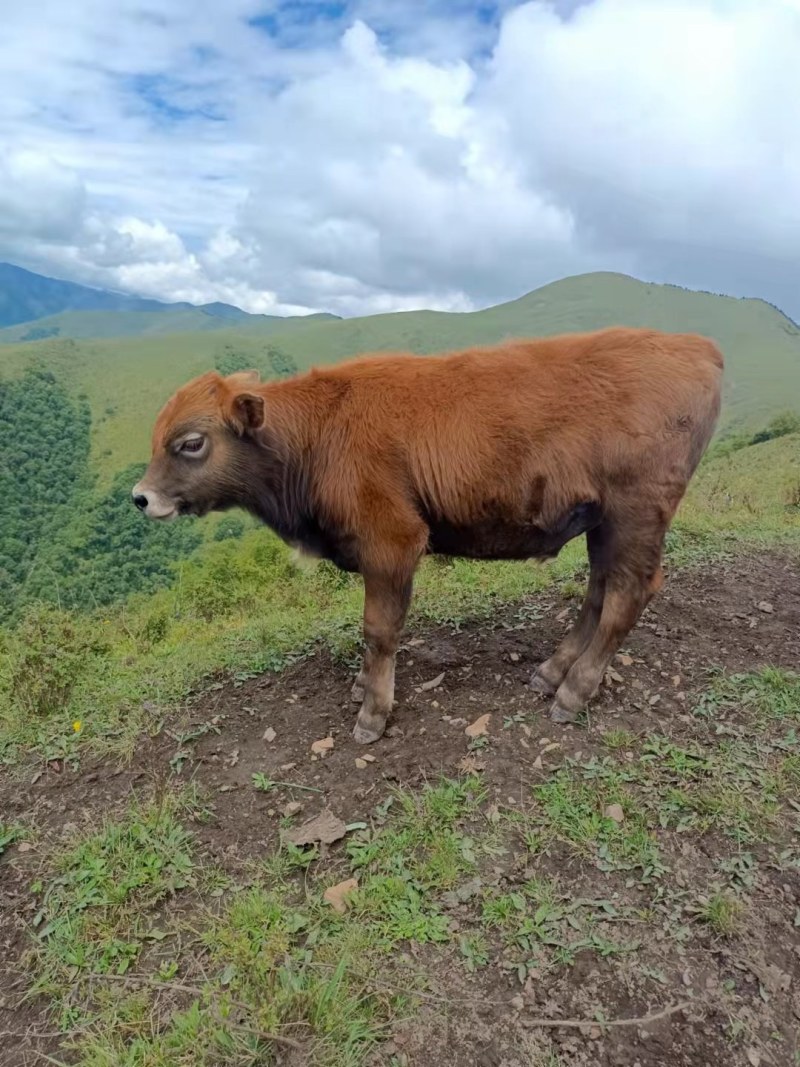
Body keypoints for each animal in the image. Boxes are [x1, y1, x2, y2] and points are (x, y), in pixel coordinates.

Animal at [133, 324, 725, 742]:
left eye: (190, 442)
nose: (141, 497)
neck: (321, 430)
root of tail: (695, 346)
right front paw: (362, 686)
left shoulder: (392, 542)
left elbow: (379, 629)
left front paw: (372, 713)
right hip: (603, 523)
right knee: (599, 591)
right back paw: (551, 672)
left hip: (636, 516)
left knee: (627, 595)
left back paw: (574, 692)